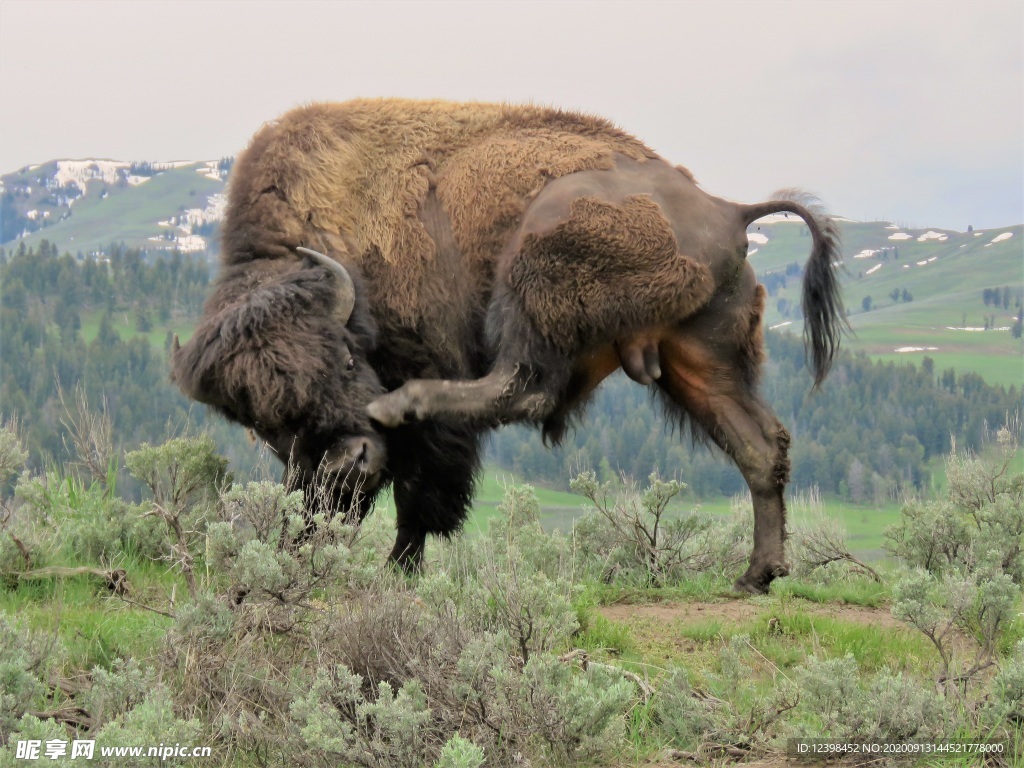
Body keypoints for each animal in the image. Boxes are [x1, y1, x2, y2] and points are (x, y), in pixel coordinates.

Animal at [172, 99, 843, 593]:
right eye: (271, 426)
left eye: (344, 358)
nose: (350, 462)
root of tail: (728, 210)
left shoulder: (431, 371)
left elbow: (422, 492)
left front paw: (398, 571)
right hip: (699, 356)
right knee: (759, 445)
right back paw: (757, 575)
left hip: (536, 262)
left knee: (523, 388)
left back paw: (401, 403)